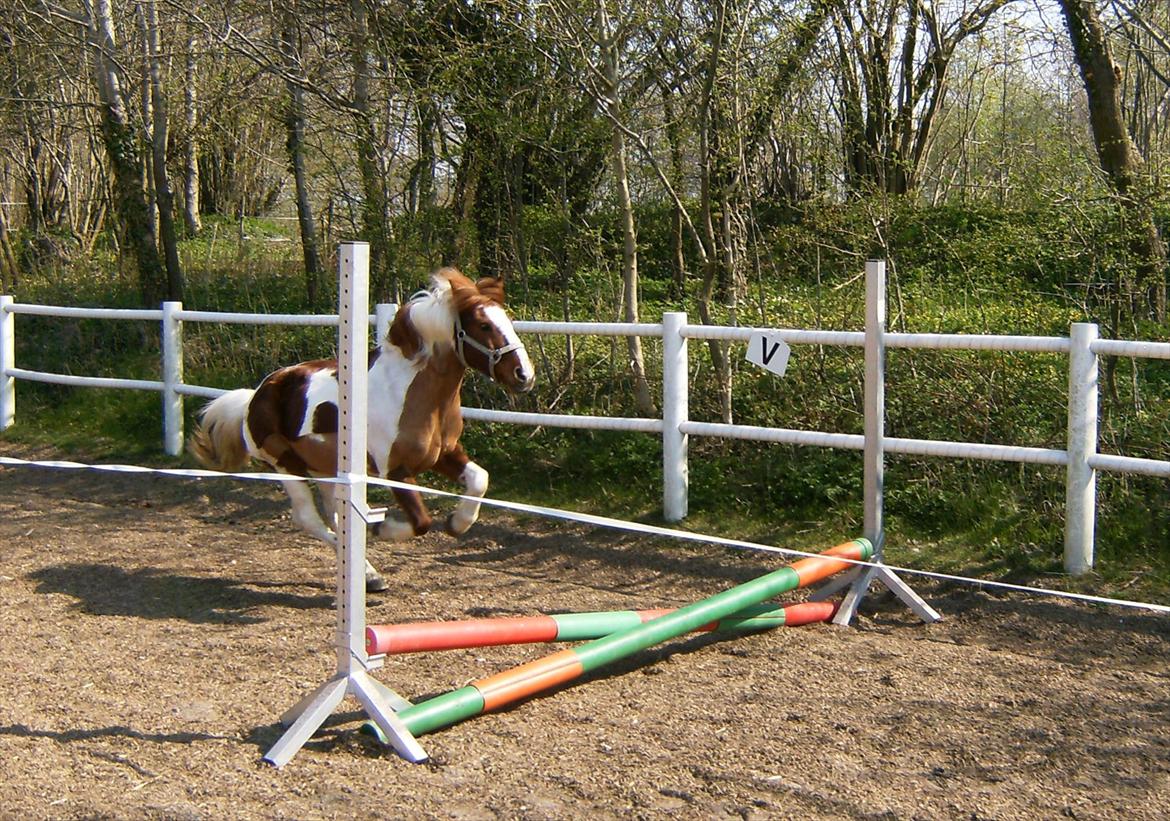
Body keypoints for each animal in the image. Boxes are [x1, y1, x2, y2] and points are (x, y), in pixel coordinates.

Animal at [189, 270, 535, 591]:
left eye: (507, 320)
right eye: (484, 326)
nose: (524, 375)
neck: (413, 393)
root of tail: (256, 395)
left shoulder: (444, 454)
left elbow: (479, 479)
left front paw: (457, 523)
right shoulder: (395, 471)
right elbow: (421, 522)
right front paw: (385, 528)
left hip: (327, 469)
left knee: (336, 517)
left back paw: (370, 576)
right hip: (286, 466)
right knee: (310, 519)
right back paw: (369, 571)